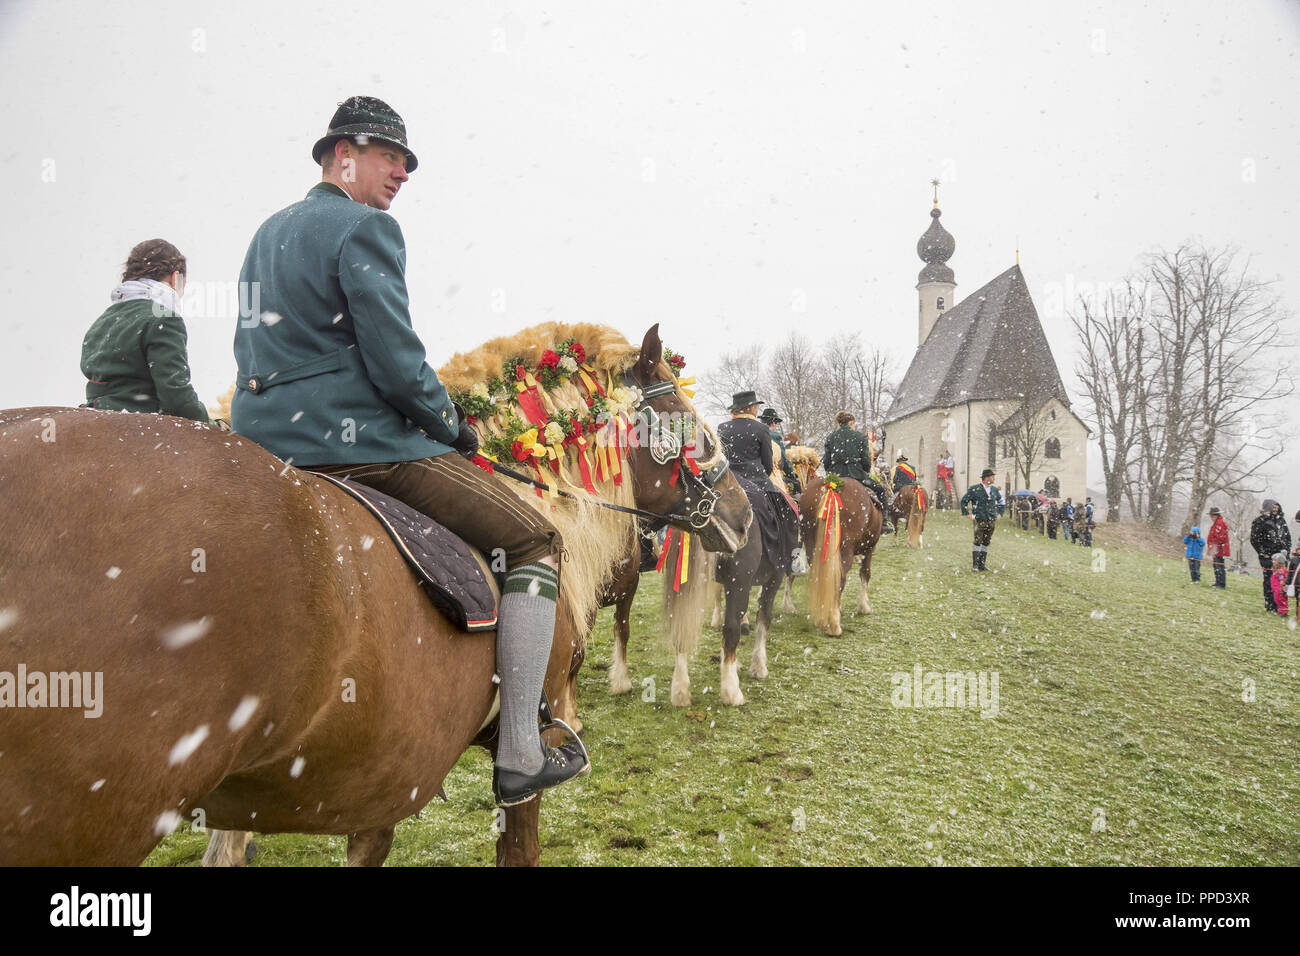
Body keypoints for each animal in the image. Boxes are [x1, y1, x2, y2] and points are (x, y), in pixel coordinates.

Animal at [795, 476, 889, 634]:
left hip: (810, 544)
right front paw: (864, 606)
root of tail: (831, 486)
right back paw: (834, 625)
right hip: (845, 548)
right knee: (840, 578)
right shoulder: (870, 548)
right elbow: (865, 573)